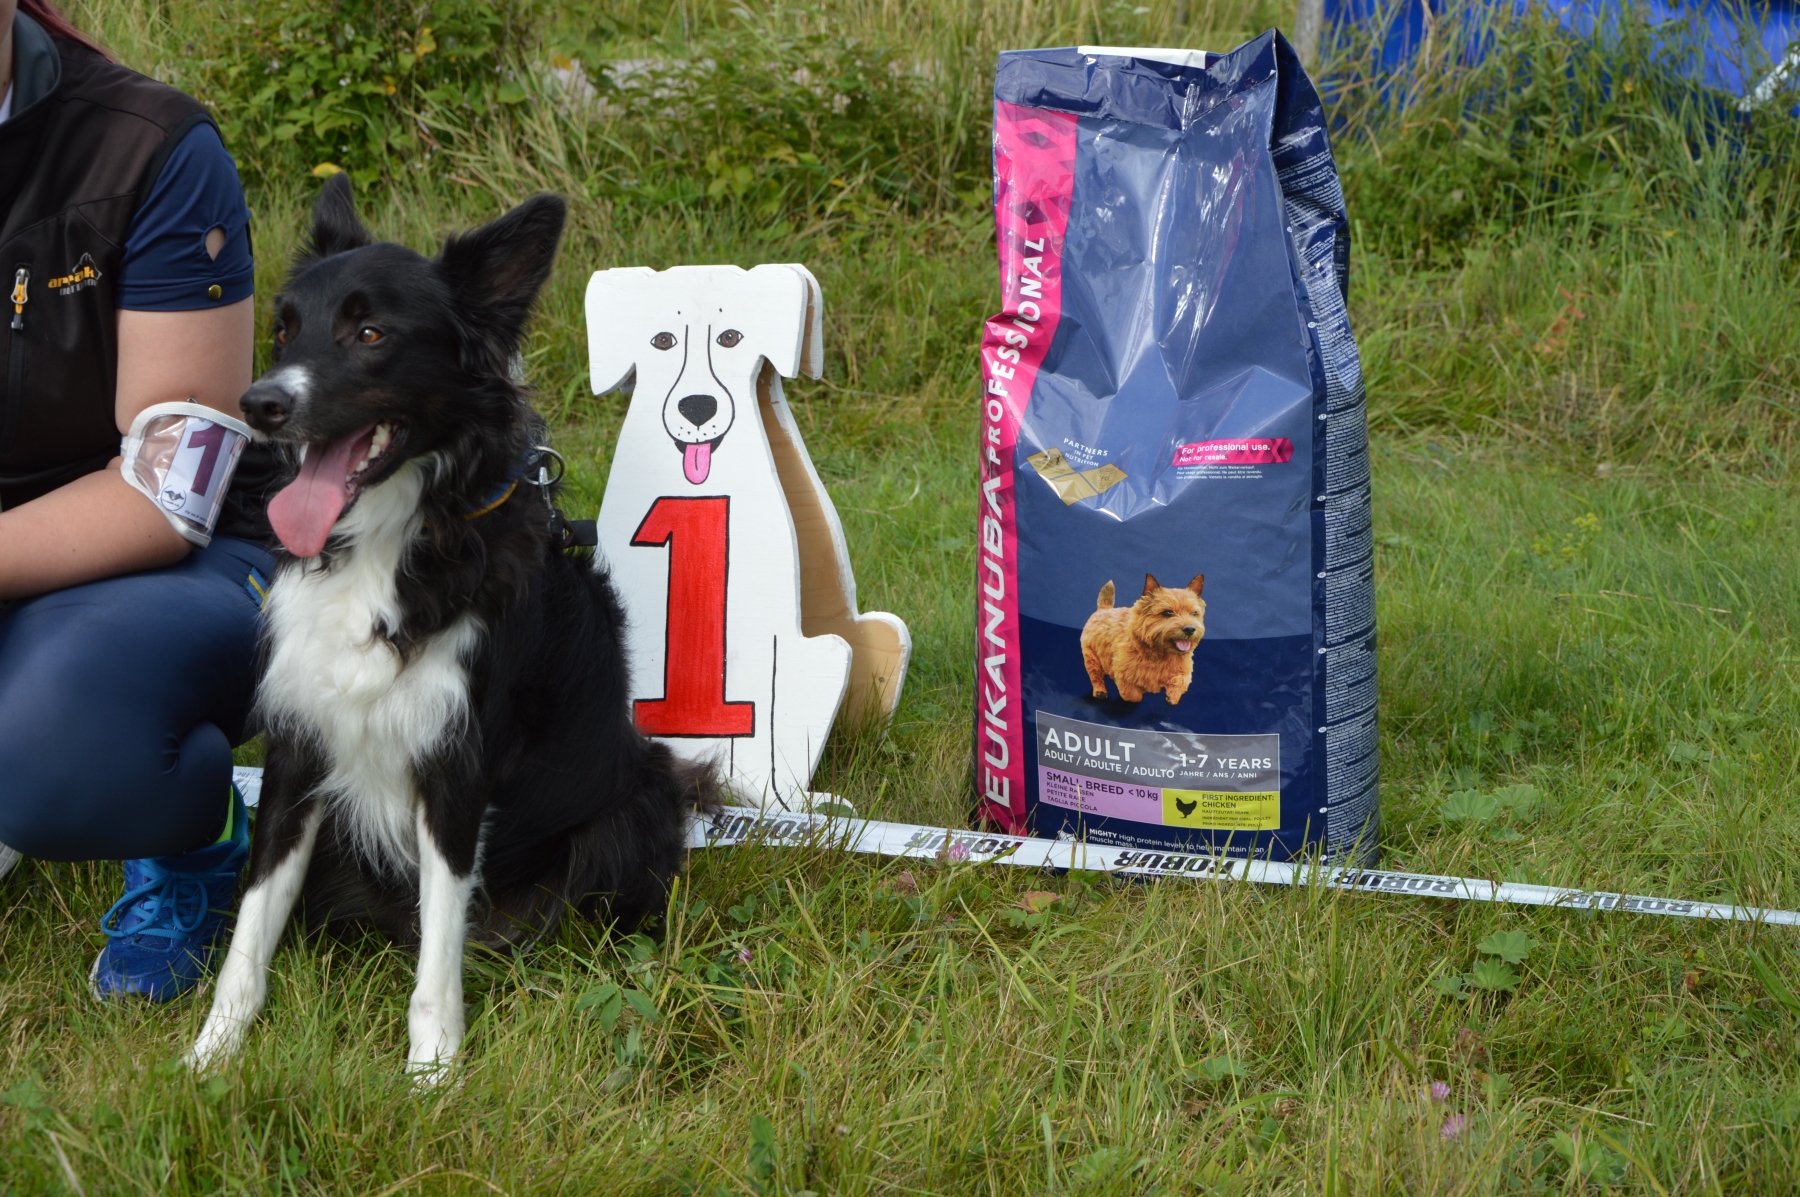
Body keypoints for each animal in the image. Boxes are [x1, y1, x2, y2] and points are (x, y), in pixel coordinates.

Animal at [189, 176, 707, 1082]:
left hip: (638, 801)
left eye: (370, 333)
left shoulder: (454, 763)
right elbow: (253, 920)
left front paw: (432, 1074)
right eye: (285, 325)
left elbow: (438, 943)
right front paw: (214, 1050)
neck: (389, 540)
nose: (261, 404)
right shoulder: (297, 746)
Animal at [1079, 574, 1206, 705]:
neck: (1161, 654)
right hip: (1091, 657)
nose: (1190, 629)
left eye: (1194, 613)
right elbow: (1133, 696)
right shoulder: (1124, 675)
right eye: (1167, 613)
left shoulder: (1184, 670)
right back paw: (1100, 691)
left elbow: (1181, 681)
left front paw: (1171, 696)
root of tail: (1103, 609)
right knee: (1095, 675)